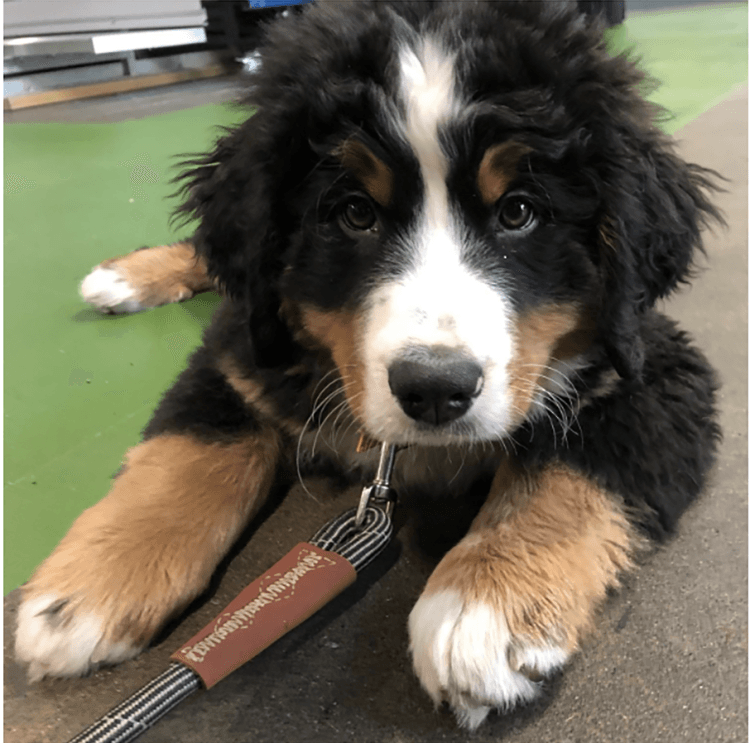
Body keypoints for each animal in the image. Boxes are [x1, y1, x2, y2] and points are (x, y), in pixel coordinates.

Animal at [16, 1, 724, 732]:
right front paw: (89, 587)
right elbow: (190, 449)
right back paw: (128, 276)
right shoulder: (242, 353)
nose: (435, 389)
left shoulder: (649, 364)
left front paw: (485, 603)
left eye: (520, 211)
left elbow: (568, 466)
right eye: (355, 212)